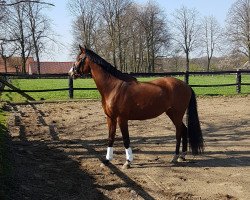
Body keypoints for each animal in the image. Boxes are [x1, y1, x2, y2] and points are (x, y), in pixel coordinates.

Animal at [68, 45, 203, 169]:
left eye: (79, 58)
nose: (70, 73)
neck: (113, 87)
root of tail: (186, 85)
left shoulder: (122, 118)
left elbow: (126, 139)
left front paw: (127, 162)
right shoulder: (110, 118)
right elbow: (110, 138)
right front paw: (107, 161)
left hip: (177, 114)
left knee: (179, 132)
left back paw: (175, 157)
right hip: (171, 113)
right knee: (184, 130)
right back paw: (182, 156)